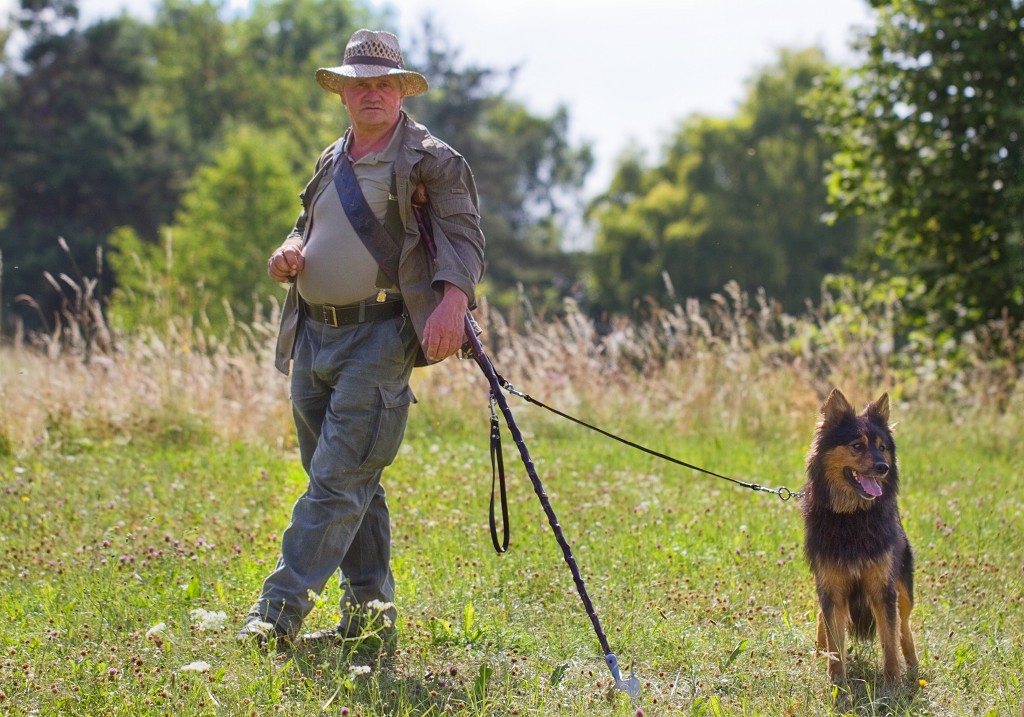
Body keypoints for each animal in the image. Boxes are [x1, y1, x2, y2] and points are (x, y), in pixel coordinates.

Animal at [798, 389, 921, 680]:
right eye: (857, 446)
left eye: (882, 447)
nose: (883, 467)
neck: (852, 516)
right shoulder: (831, 587)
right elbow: (835, 639)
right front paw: (836, 680)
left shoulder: (883, 587)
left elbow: (889, 638)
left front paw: (893, 681)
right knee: (821, 618)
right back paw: (819, 653)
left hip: (903, 587)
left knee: (904, 627)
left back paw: (912, 667)